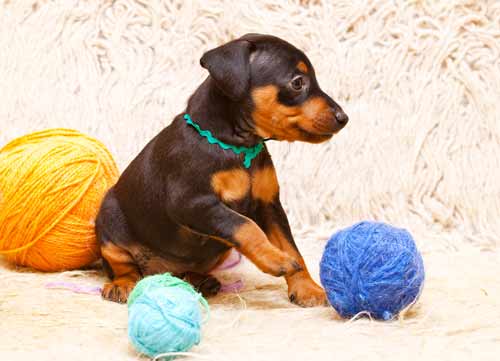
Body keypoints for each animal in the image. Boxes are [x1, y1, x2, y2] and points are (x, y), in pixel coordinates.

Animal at [94, 33, 348, 306]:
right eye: (298, 82)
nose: (344, 118)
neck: (237, 147)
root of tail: (161, 271)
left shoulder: (269, 205)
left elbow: (291, 247)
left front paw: (306, 288)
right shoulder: (192, 202)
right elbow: (244, 225)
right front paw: (275, 260)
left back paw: (200, 280)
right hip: (109, 222)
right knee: (123, 265)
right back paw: (122, 284)